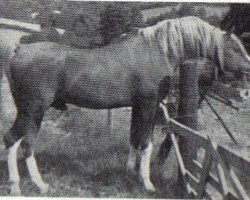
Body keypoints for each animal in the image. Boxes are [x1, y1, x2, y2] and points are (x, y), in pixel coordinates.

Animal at [3, 16, 250, 195]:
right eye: (236, 48)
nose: (248, 69)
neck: (156, 51)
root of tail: (18, 51)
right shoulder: (149, 105)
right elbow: (146, 142)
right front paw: (147, 183)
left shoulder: (137, 106)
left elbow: (134, 138)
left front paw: (130, 172)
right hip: (33, 109)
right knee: (17, 141)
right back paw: (24, 185)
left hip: (31, 112)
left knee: (20, 142)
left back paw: (28, 184)